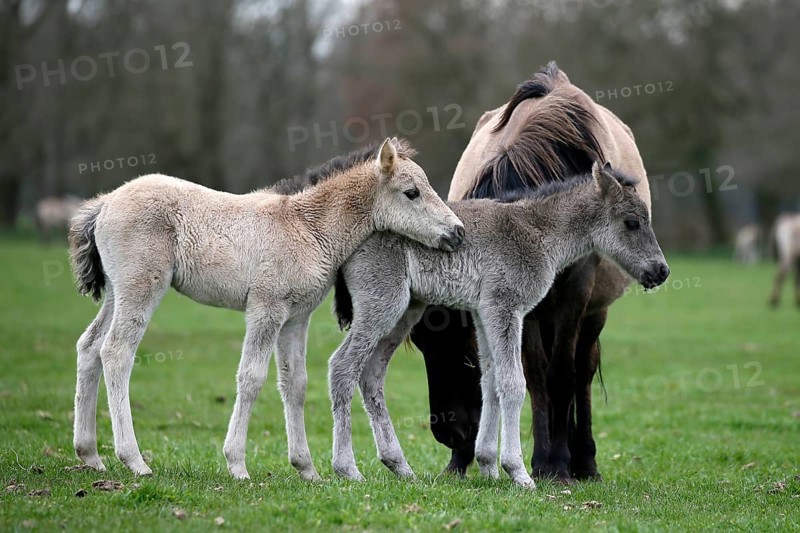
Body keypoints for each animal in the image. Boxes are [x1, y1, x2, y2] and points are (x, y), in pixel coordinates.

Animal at [68, 138, 465, 480]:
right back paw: (134, 459)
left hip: (117, 292)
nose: (457, 232)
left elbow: (296, 383)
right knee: (116, 351)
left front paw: (307, 469)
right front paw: (237, 465)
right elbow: (252, 377)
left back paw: (90, 454)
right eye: (411, 192)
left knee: (89, 345)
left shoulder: (297, 318)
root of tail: (105, 203)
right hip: (140, 288)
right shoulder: (266, 308)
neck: (308, 228)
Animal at [329, 163, 669, 488]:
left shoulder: (484, 313)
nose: (661, 271)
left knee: (371, 375)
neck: (537, 232)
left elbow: (490, 381)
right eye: (632, 222)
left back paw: (399, 466)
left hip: (404, 312)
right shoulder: (505, 308)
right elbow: (513, 383)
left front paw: (489, 466)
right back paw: (347, 469)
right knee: (342, 366)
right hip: (383, 304)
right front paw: (518, 472)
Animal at [408, 62, 654, 482]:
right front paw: (538, 460)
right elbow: (536, 373)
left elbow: (560, 376)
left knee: (581, 370)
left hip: (594, 312)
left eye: (467, 355)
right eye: (422, 347)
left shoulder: (573, 293)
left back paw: (582, 460)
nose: (448, 434)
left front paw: (554, 463)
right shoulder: (522, 307)